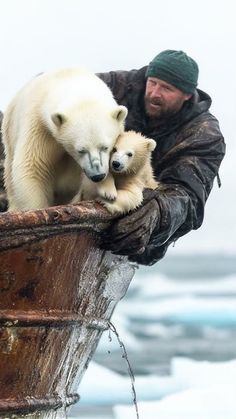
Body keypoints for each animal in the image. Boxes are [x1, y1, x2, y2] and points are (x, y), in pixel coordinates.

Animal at [2, 68, 127, 210]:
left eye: (105, 147)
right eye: (81, 150)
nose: (98, 176)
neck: (67, 77)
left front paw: (108, 191)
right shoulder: (39, 126)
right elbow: (33, 166)